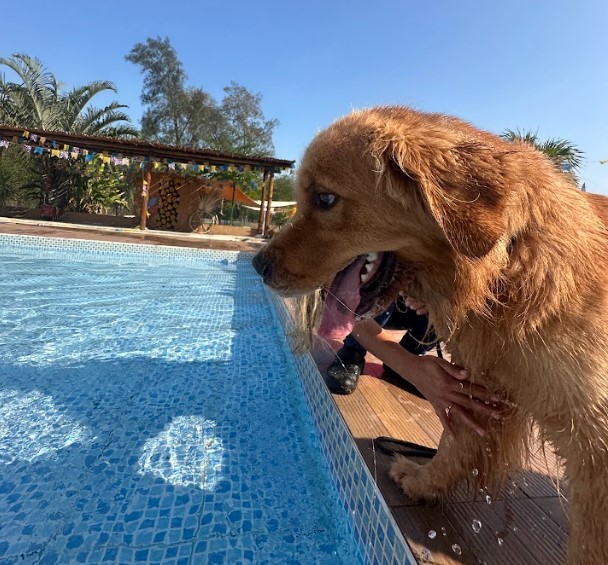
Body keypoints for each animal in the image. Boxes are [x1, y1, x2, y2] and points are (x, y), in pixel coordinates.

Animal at [254, 104, 608, 560]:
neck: (506, 263)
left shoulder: (595, 446)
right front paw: (424, 481)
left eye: (325, 199)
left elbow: (587, 546)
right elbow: (455, 443)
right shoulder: (486, 386)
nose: (258, 265)